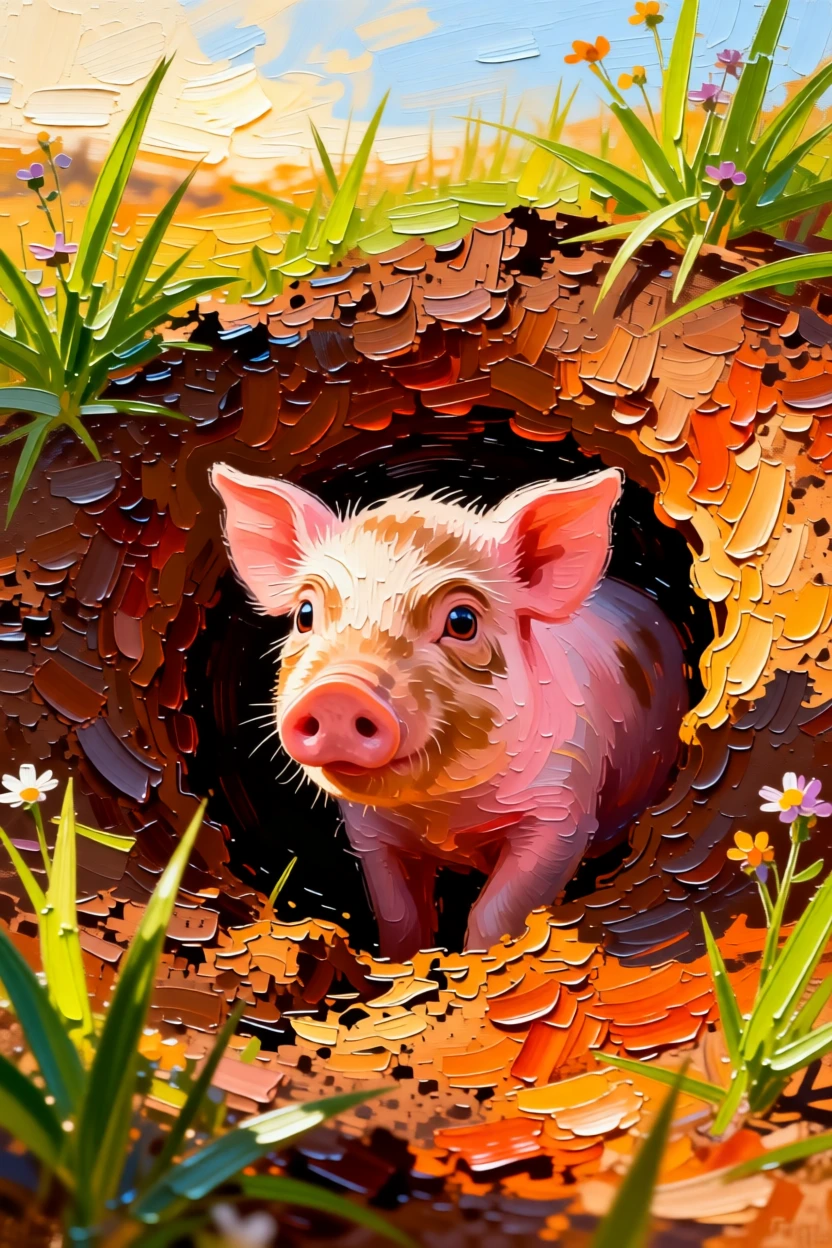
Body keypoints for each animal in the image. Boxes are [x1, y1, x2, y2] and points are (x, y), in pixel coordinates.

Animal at [212, 463, 687, 960]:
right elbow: (399, 916)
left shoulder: (563, 813)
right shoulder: (370, 832)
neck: (443, 814)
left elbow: (496, 912)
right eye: (305, 613)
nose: (340, 692)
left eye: (462, 622)